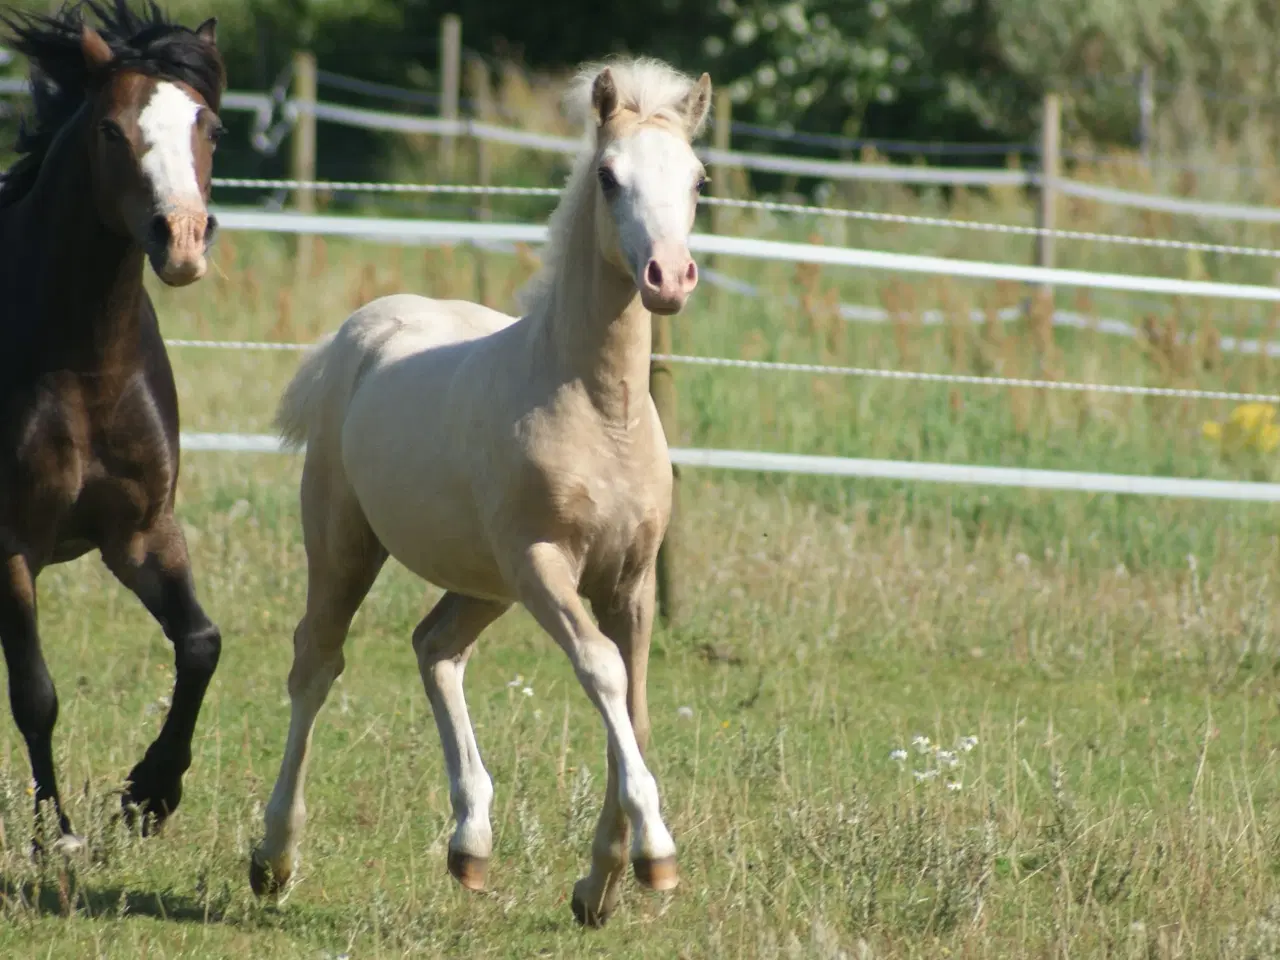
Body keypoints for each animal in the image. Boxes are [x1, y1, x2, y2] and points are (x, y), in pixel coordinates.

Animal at [0, 3, 225, 849]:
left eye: (210, 124)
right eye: (109, 129)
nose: (182, 239)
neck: (86, 367)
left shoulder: (142, 532)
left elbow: (200, 644)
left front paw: (150, 794)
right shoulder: (11, 544)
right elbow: (34, 692)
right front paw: (56, 832)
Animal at [249, 58, 711, 926]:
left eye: (699, 179)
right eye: (609, 176)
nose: (668, 276)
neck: (601, 412)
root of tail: (358, 333)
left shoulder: (629, 582)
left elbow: (632, 705)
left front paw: (601, 881)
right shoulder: (542, 563)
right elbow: (602, 673)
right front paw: (654, 855)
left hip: (482, 580)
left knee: (436, 648)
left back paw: (471, 844)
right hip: (348, 542)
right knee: (315, 664)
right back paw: (273, 857)